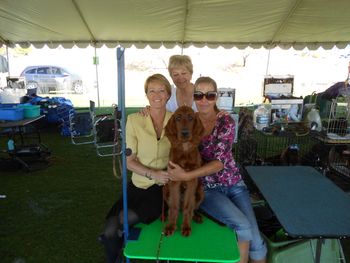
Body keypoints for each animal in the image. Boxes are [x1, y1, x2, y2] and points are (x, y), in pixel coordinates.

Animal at [164, 106, 205, 238]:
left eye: (191, 118)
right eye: (178, 118)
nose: (185, 133)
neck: (185, 148)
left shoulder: (191, 180)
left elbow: (188, 207)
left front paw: (186, 227)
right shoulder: (174, 180)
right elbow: (174, 206)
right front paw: (171, 226)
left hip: (200, 190)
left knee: (193, 207)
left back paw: (196, 216)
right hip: (165, 188)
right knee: (169, 206)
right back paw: (164, 215)